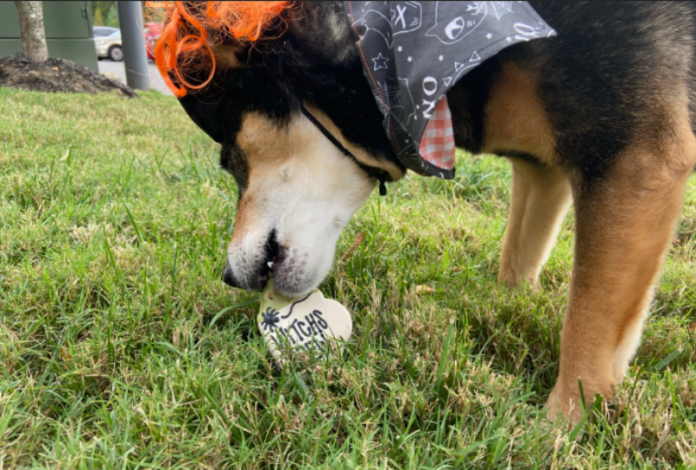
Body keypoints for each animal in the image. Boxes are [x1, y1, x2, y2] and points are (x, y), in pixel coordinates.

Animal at [155, 1, 696, 424]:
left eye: (228, 158)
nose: (227, 276)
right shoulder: (541, 172)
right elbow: (519, 258)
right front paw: (507, 308)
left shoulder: (635, 156)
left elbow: (588, 325)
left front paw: (558, 428)